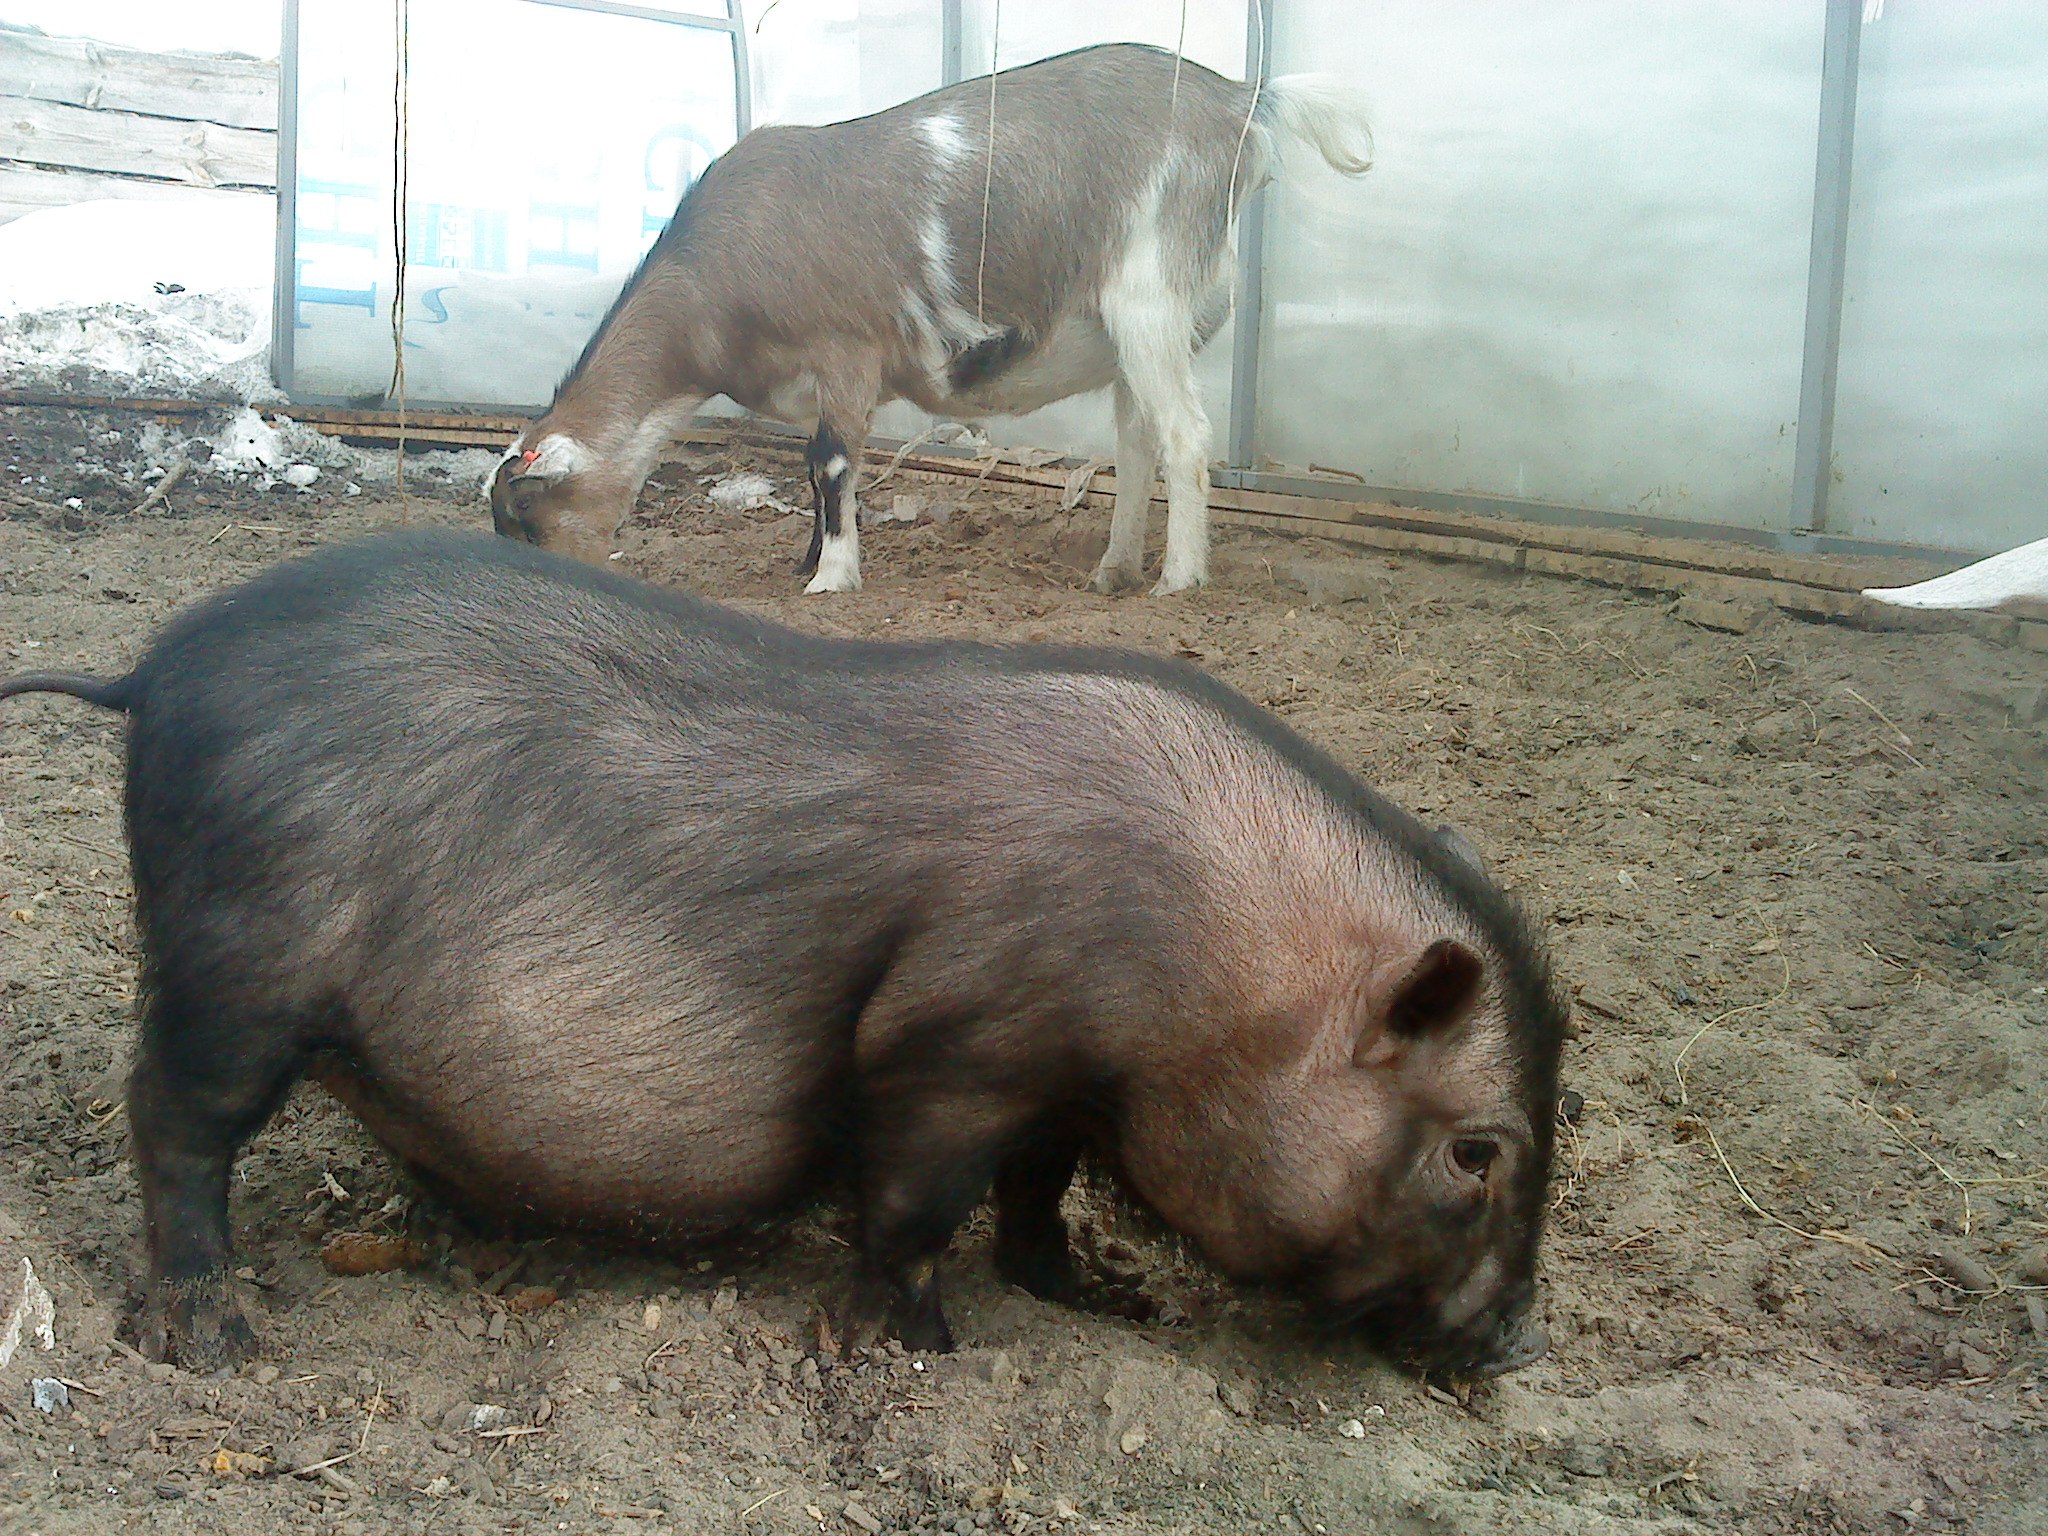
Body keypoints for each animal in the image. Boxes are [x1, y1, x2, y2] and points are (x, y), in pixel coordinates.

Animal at [0, 532, 1564, 1384]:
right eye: (1475, 1154)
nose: (1517, 1343)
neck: (1214, 969)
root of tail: (153, 671)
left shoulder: (1061, 1090)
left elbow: (1037, 1201)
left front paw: (1096, 1298)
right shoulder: (950, 1040)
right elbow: (916, 1204)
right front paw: (919, 1349)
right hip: (236, 958)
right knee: (171, 1119)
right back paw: (215, 1339)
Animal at [487, 41, 1368, 593]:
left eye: (526, 519)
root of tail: (1244, 100)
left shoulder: (846, 349)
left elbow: (829, 460)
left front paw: (831, 578)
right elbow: (816, 469)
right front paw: (809, 558)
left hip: (1150, 293)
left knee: (1185, 437)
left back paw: (1179, 580)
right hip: (1135, 335)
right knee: (1139, 445)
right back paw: (1114, 571)